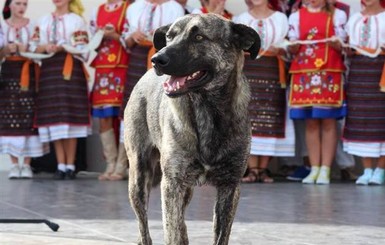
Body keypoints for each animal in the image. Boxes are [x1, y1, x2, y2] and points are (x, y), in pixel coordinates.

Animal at [124, 13, 260, 245]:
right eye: (169, 36)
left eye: (198, 37)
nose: (157, 59)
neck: (206, 109)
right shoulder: (171, 184)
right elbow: (172, 232)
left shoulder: (230, 187)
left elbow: (220, 235)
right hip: (139, 177)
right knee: (145, 228)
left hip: (184, 189)